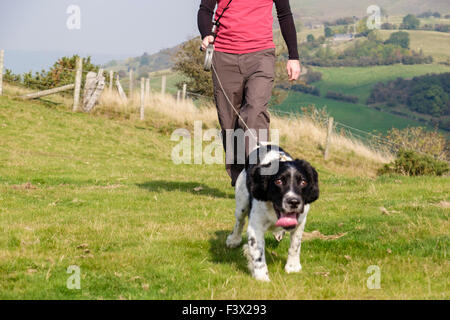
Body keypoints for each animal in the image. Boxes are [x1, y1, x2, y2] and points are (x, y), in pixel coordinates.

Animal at [225, 145, 320, 282]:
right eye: (279, 181)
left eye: (303, 182)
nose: (294, 202)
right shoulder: (256, 226)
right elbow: (258, 252)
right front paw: (262, 277)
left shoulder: (300, 221)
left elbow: (295, 244)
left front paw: (293, 267)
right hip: (241, 203)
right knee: (239, 222)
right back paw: (233, 240)